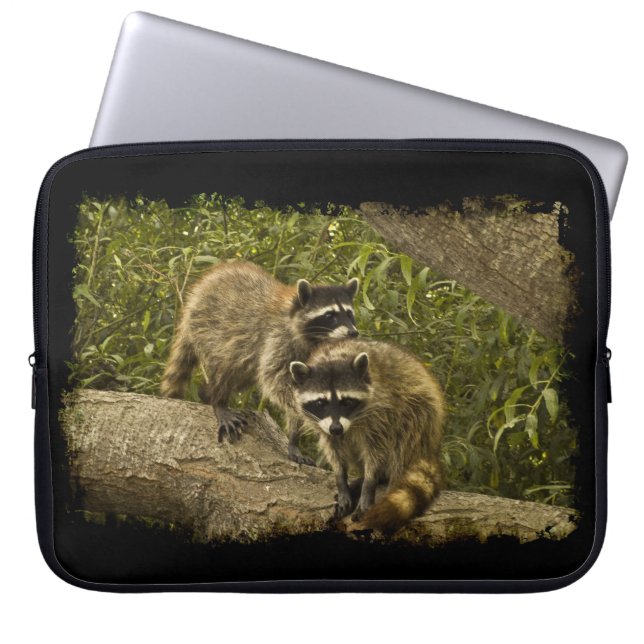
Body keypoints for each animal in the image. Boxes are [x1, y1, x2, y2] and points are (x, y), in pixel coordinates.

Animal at [160, 260, 359, 463]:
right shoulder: (278, 338)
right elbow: (276, 381)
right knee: (227, 364)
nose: (353, 332)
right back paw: (218, 400)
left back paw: (206, 394)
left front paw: (294, 438)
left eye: (349, 313)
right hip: (209, 327)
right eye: (330, 315)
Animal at [289, 339, 445, 532]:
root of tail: (432, 446)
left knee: (404, 440)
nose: (336, 428)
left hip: (420, 412)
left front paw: (368, 485)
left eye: (346, 401)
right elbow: (334, 451)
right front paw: (341, 480)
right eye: (320, 402)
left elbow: (376, 453)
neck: (333, 357)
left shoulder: (381, 413)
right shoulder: (323, 425)